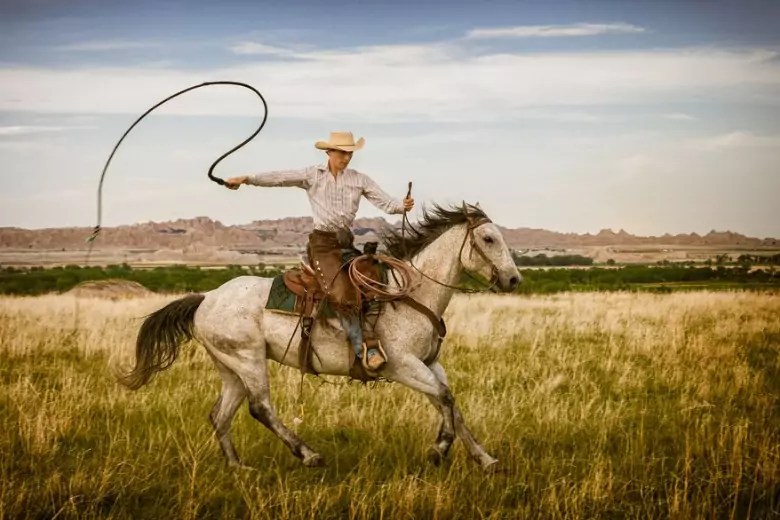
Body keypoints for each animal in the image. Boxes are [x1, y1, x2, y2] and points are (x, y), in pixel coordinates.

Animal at [116, 203, 524, 472]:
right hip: (249, 360)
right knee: (260, 408)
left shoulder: (428, 364)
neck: (409, 294)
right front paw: (439, 449)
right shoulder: (402, 367)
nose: (513, 279)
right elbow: (446, 399)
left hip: (231, 367)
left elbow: (451, 404)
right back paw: (308, 455)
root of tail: (206, 298)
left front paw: (485, 459)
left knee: (221, 414)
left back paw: (237, 468)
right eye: (489, 238)